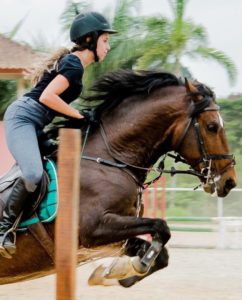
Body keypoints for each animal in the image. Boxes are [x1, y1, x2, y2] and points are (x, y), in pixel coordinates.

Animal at [0, 69, 235, 288]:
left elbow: (161, 254)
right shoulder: (93, 228)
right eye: (212, 127)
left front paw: (110, 274)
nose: (230, 181)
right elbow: (161, 227)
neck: (109, 159)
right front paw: (130, 266)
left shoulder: (117, 232)